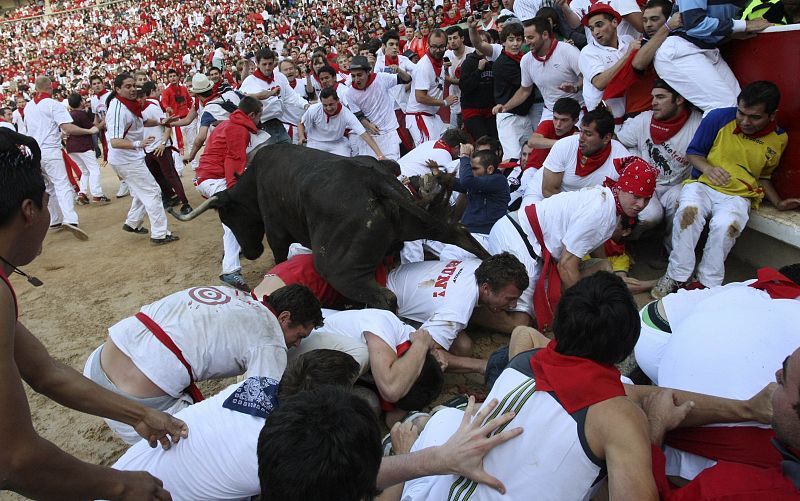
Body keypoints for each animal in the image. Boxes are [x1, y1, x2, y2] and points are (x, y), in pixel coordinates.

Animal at [172, 143, 490, 310]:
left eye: (228, 218)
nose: (250, 252)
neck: (255, 179)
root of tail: (373, 180)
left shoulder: (276, 233)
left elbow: (279, 255)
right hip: (415, 223)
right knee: (458, 233)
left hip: (336, 267)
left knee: (384, 297)